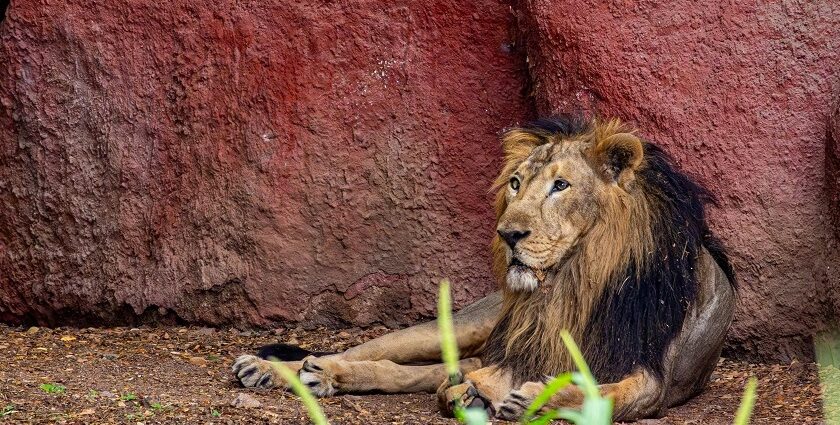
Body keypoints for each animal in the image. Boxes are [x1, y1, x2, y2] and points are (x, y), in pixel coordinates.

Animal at [230, 116, 736, 420]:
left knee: (415, 371)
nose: (508, 234)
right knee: (365, 351)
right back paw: (274, 368)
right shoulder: (518, 353)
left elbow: (603, 394)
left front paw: (533, 397)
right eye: (515, 183)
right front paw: (484, 394)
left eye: (561, 186)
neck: (573, 281)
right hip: (465, 325)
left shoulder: (652, 379)